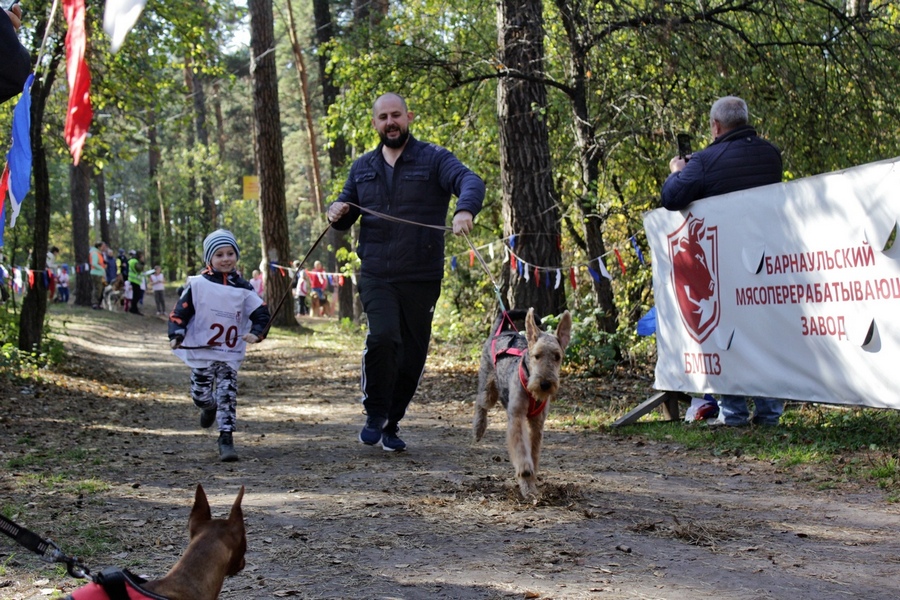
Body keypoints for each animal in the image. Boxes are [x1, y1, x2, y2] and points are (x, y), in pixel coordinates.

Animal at [474, 308, 572, 500]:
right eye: (537, 355)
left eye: (557, 357)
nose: (545, 384)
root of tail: (502, 331)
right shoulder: (517, 416)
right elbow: (521, 449)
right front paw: (525, 472)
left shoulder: (537, 424)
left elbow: (533, 452)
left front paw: (530, 485)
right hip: (489, 390)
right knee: (479, 403)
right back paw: (478, 429)